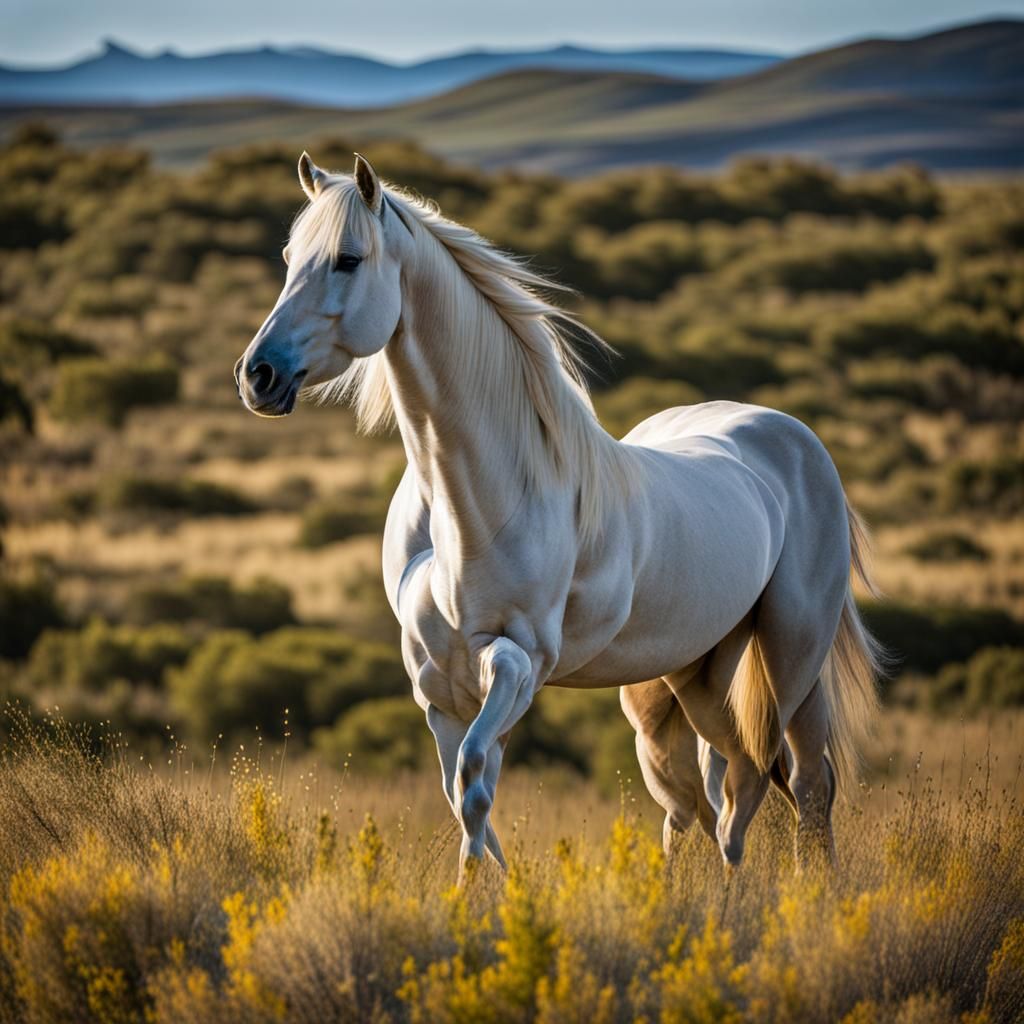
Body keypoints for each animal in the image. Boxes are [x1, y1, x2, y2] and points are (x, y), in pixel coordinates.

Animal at [235, 153, 882, 877]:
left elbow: (474, 783)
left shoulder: (518, 664)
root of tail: (795, 440)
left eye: (348, 259)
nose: (258, 376)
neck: (471, 505)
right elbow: (466, 796)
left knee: (794, 784)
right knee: (713, 792)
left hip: (792, 656)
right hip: (688, 678)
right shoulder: (437, 686)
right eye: (289, 257)